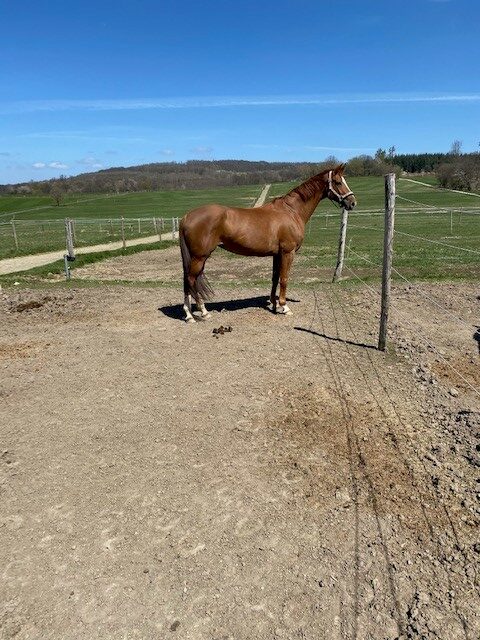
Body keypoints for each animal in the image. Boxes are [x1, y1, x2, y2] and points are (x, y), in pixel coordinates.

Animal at [178, 164, 354, 322]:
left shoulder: (277, 254)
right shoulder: (288, 253)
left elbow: (275, 278)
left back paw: (191, 313)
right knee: (190, 280)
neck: (291, 211)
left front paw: (274, 305)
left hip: (198, 258)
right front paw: (285, 307)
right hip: (200, 257)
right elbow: (284, 278)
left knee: (188, 280)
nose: (352, 202)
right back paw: (198, 313)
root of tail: (186, 216)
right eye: (338, 182)